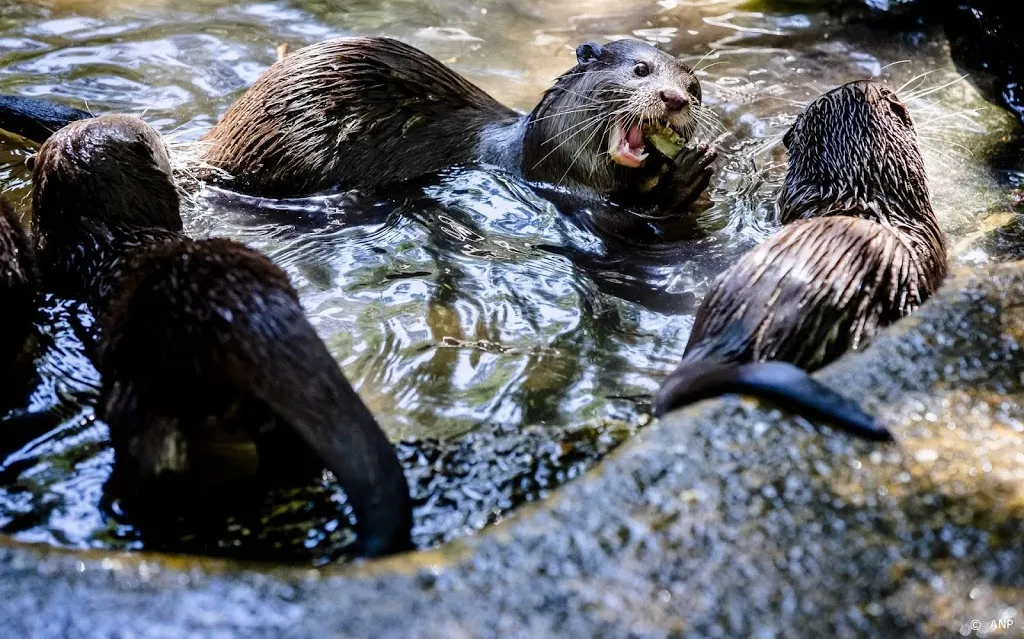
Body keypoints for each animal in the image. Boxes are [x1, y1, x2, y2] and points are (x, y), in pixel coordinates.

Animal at [0, 37, 720, 240]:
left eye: (696, 84)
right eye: (640, 70)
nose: (678, 98)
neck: (524, 147)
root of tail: (221, 139)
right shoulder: (555, 183)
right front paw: (687, 177)